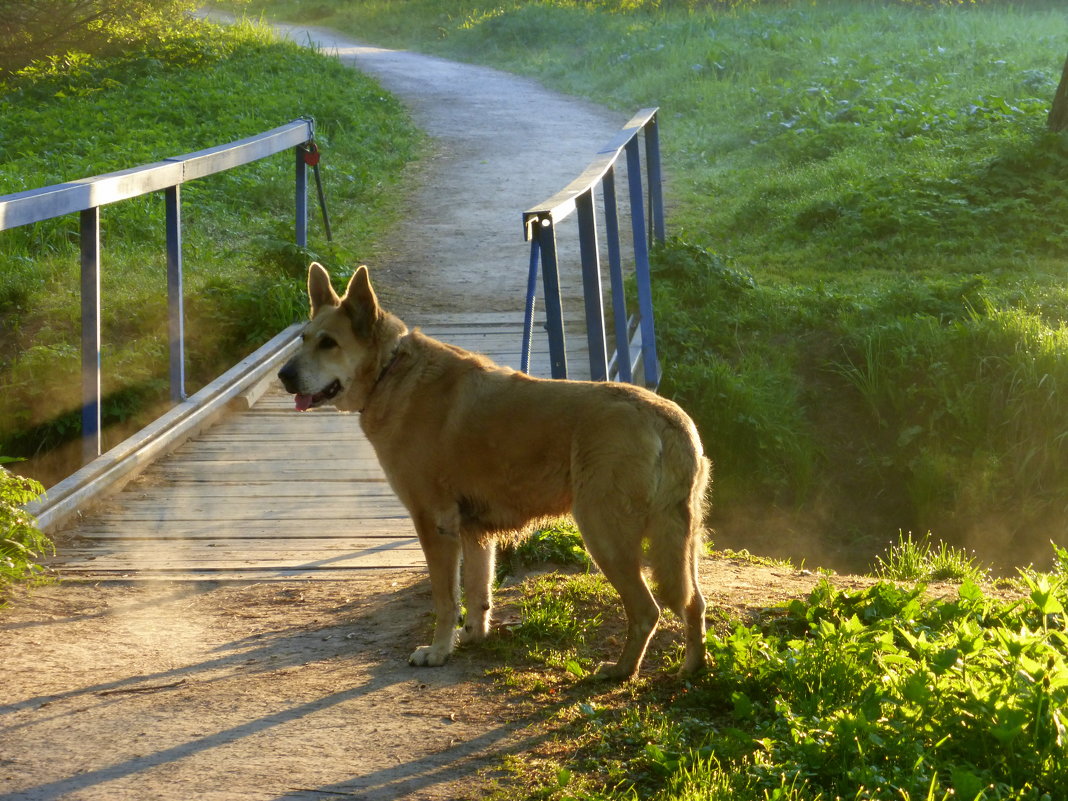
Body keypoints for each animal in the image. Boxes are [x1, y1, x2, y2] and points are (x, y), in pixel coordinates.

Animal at [277, 263, 709, 679]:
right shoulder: (474, 531)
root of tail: (666, 417)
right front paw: (472, 636)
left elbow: (446, 599)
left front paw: (438, 651)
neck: (390, 371)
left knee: (647, 610)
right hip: (678, 541)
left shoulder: (434, 523)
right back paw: (691, 669)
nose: (283, 376)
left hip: (604, 533)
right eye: (303, 339)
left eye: (329, 343)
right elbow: (477, 592)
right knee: (693, 603)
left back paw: (621, 671)